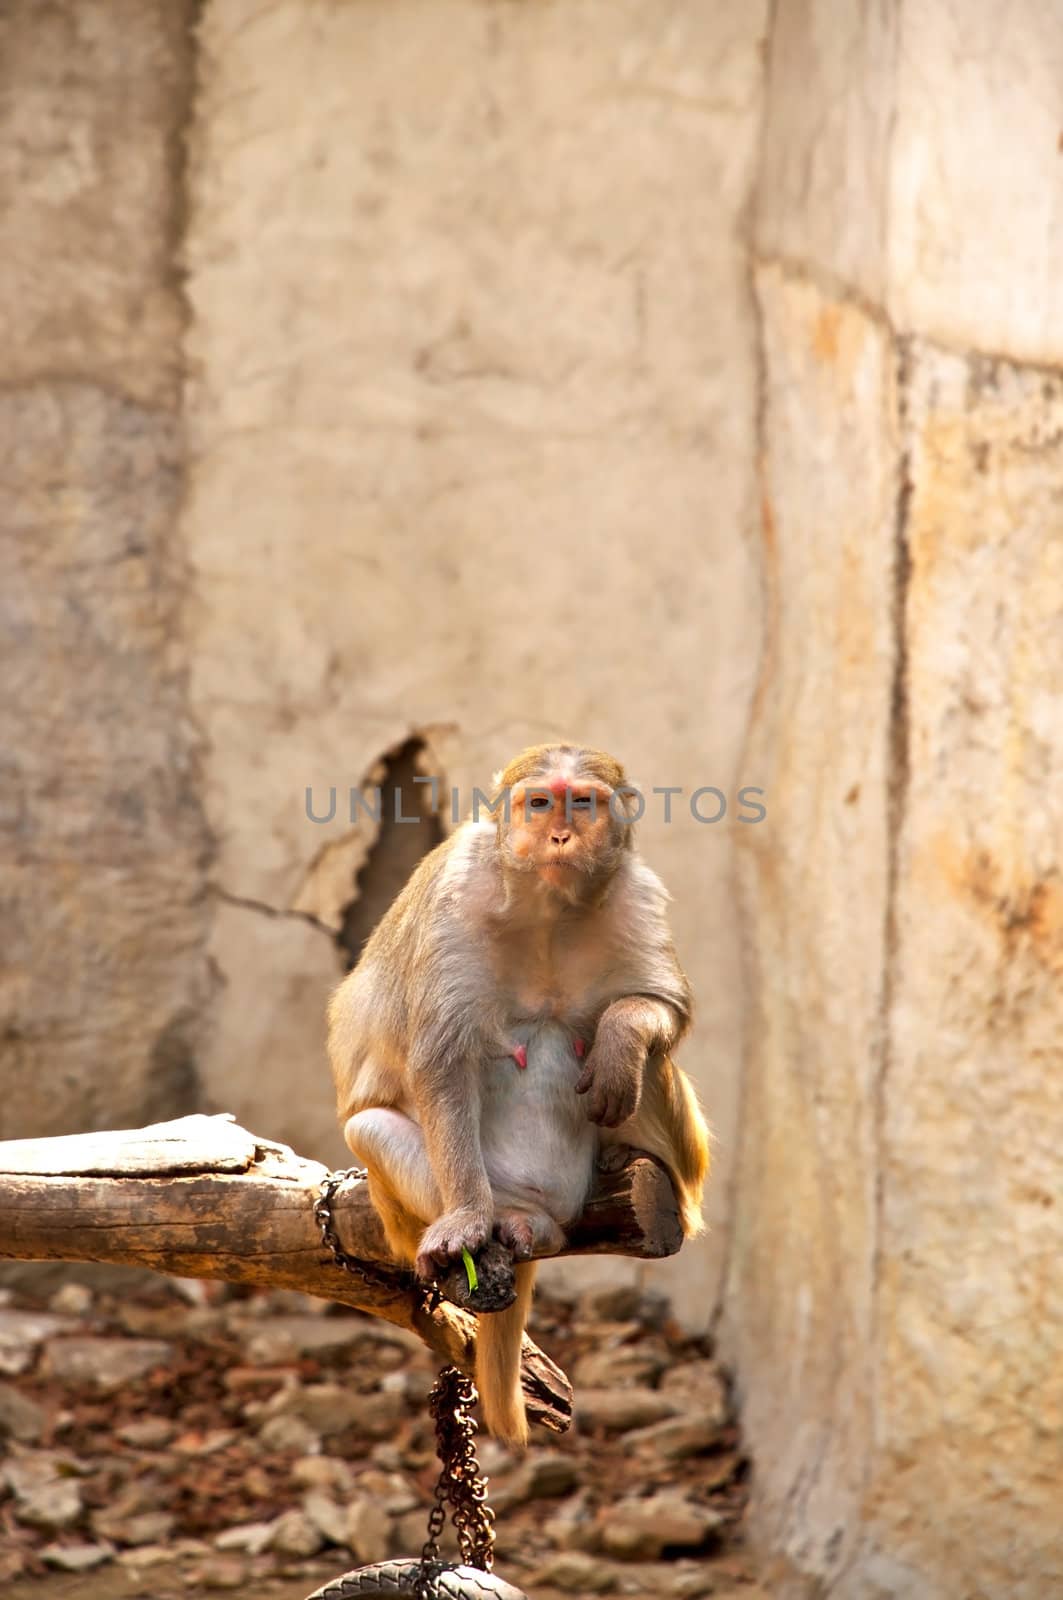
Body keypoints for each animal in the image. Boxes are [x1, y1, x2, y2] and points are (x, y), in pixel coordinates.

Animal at [328, 742, 710, 1446]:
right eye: (539, 803)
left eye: (581, 802)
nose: (560, 835)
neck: (548, 905)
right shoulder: (452, 901)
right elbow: (441, 1062)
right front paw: (466, 1219)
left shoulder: (637, 893)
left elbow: (660, 1008)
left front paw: (621, 1038)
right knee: (370, 1128)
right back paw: (508, 1219)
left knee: (640, 1068)